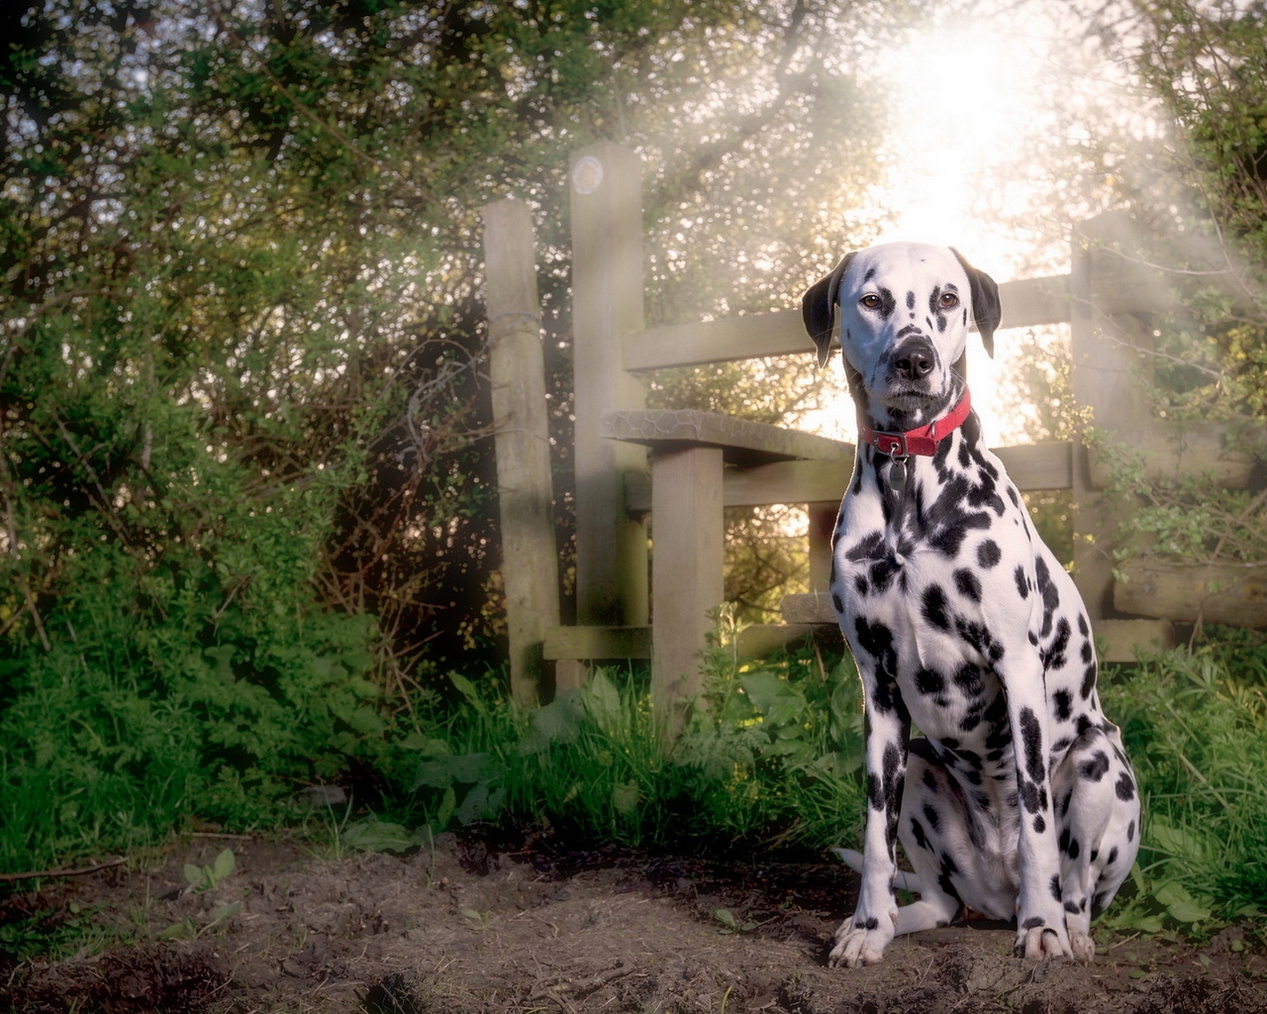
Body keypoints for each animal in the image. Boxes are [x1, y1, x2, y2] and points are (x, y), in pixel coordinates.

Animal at [805, 243, 1145, 968]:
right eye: (871, 300)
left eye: (946, 298)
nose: (914, 359)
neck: (909, 484)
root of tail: (995, 892)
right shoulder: (877, 692)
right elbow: (874, 837)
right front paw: (866, 926)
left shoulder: (1016, 669)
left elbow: (1036, 816)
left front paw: (1042, 926)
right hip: (920, 771)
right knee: (939, 902)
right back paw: (897, 920)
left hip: (1100, 763)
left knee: (1078, 882)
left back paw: (1065, 926)